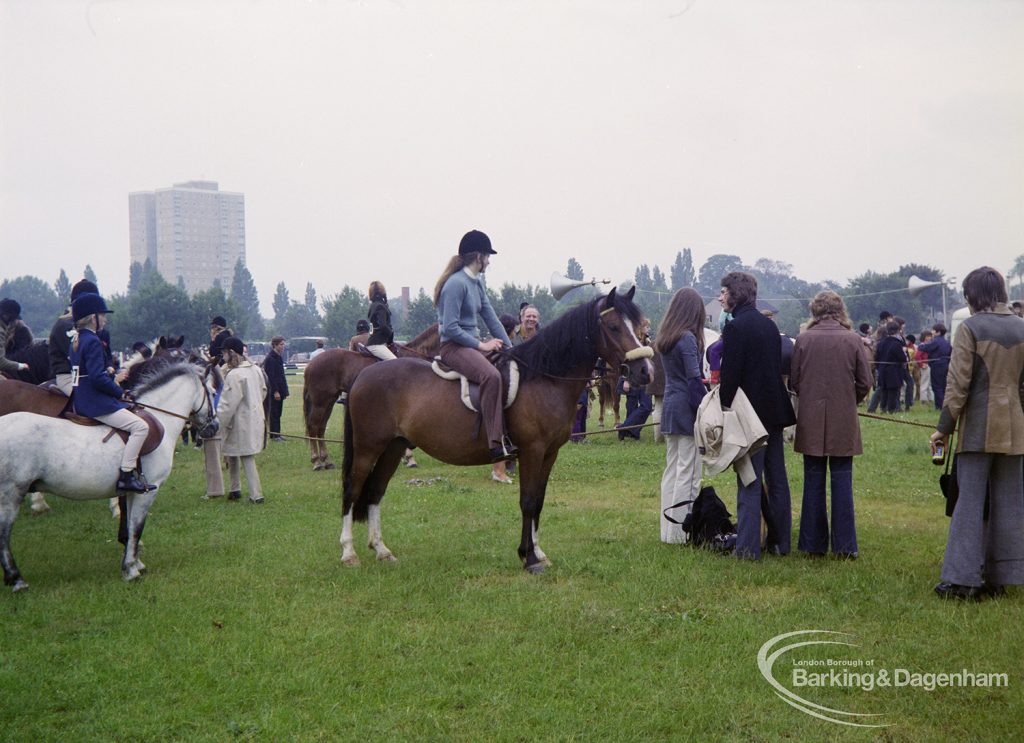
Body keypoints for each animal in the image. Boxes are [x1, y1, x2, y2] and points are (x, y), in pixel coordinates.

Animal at [0, 358, 220, 589]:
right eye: (213, 392)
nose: (214, 427)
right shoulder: (149, 491)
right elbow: (136, 527)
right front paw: (131, 569)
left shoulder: (133, 492)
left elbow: (130, 527)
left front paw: (135, 562)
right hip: (11, 492)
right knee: (3, 534)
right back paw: (17, 579)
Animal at [299, 325, 436, 470]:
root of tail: (311, 364)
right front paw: (409, 458)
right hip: (320, 402)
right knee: (314, 426)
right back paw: (317, 462)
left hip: (329, 401)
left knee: (321, 427)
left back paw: (327, 461)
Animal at [339, 288, 651, 573]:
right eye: (613, 326)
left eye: (638, 327)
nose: (645, 371)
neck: (543, 378)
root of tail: (363, 375)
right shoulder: (532, 451)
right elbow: (528, 501)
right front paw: (529, 558)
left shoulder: (549, 453)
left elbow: (539, 500)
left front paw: (539, 552)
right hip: (368, 448)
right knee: (353, 489)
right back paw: (348, 553)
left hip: (393, 447)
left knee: (376, 491)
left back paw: (382, 550)